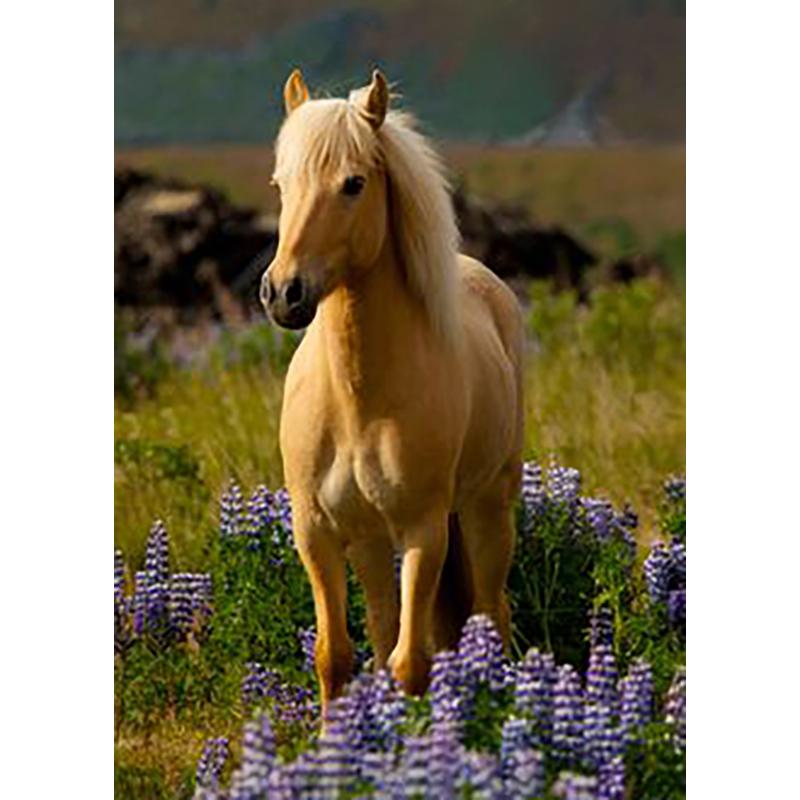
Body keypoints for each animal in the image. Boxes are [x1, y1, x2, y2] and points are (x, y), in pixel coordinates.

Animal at [261, 68, 525, 714]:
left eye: (353, 184)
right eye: (281, 183)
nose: (284, 293)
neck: (358, 399)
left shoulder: (423, 532)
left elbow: (411, 662)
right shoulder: (318, 531)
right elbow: (338, 656)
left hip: (486, 508)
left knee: (491, 611)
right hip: (371, 542)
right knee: (386, 630)